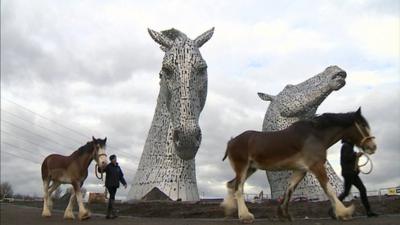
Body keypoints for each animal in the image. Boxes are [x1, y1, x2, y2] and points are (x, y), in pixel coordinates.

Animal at [220, 107, 376, 223]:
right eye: (363, 125)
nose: (372, 147)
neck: (315, 134)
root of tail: (231, 141)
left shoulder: (300, 170)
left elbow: (290, 190)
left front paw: (284, 214)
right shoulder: (316, 166)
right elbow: (329, 189)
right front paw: (343, 212)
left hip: (251, 168)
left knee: (231, 184)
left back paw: (228, 209)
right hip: (243, 167)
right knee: (238, 188)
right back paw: (245, 216)